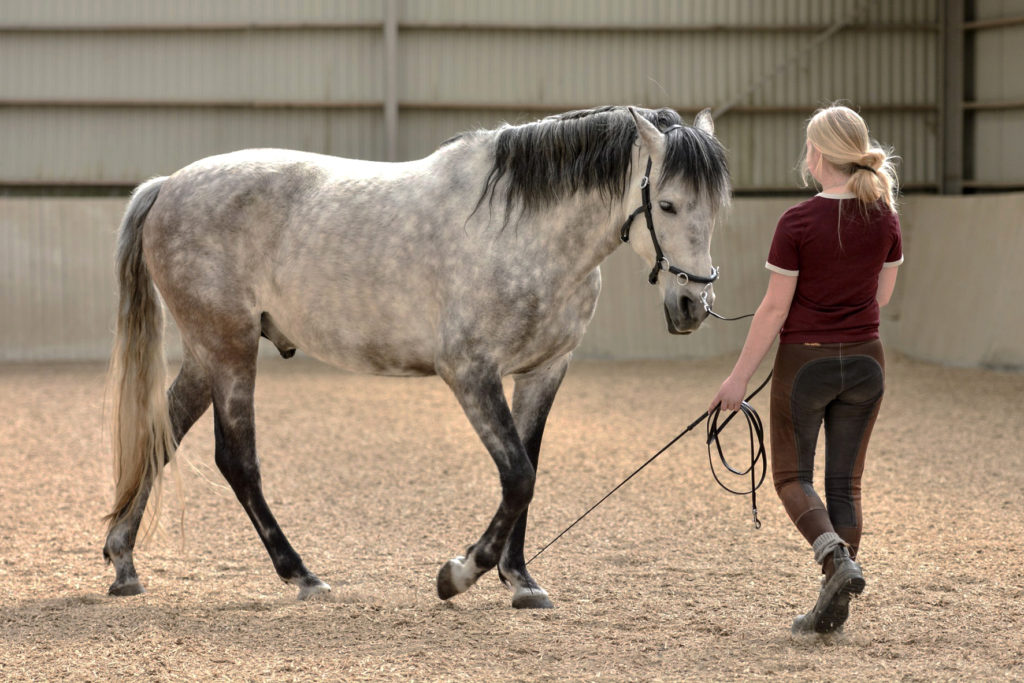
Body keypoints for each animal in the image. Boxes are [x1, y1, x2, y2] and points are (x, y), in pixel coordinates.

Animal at [103, 105, 729, 610]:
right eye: (667, 204)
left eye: (716, 207)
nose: (692, 305)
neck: (522, 230)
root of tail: (167, 186)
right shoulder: (471, 374)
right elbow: (518, 476)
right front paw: (458, 575)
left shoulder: (544, 372)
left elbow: (528, 470)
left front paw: (521, 582)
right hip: (229, 349)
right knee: (237, 461)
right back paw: (302, 576)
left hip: (207, 354)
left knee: (161, 436)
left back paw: (124, 564)